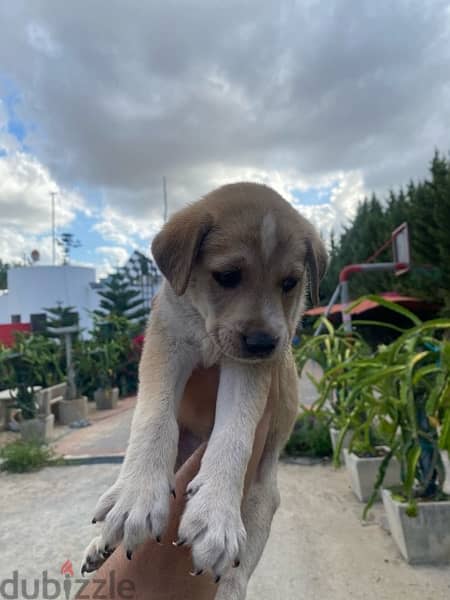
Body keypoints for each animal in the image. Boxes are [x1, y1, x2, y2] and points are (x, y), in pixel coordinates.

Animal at [81, 183, 326, 600]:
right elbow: (154, 418)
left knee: (238, 572)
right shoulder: (167, 342)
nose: (264, 343)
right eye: (227, 276)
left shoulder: (246, 369)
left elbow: (234, 434)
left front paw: (215, 514)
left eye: (290, 283)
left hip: (261, 501)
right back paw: (103, 539)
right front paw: (137, 495)